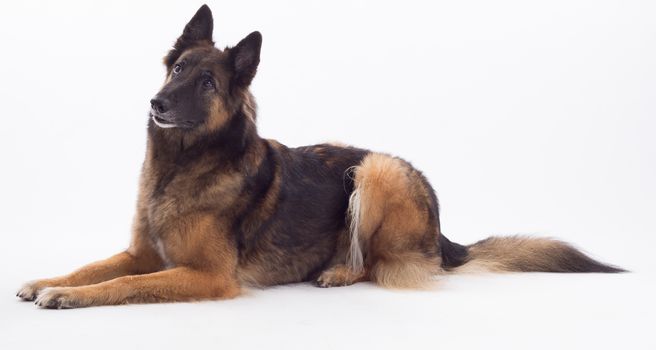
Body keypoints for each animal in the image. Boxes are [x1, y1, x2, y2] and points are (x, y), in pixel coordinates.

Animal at [14, 4, 620, 308]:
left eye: (208, 82)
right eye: (178, 68)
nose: (157, 104)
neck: (184, 166)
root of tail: (444, 231)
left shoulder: (208, 276)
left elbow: (123, 285)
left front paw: (66, 295)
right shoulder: (141, 251)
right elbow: (97, 266)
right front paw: (49, 280)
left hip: (375, 170)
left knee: (379, 263)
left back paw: (336, 272)